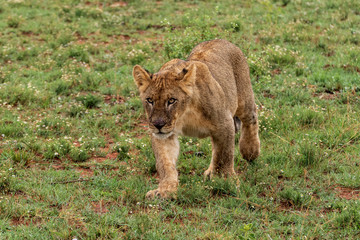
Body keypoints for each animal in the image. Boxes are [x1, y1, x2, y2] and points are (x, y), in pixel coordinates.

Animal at [132, 39, 258, 198]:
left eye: (171, 100)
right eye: (150, 100)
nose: (158, 124)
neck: (184, 114)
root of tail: (221, 40)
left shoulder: (224, 123)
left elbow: (224, 156)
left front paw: (226, 180)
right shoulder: (164, 135)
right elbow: (165, 163)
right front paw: (165, 190)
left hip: (243, 101)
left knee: (251, 117)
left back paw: (250, 151)